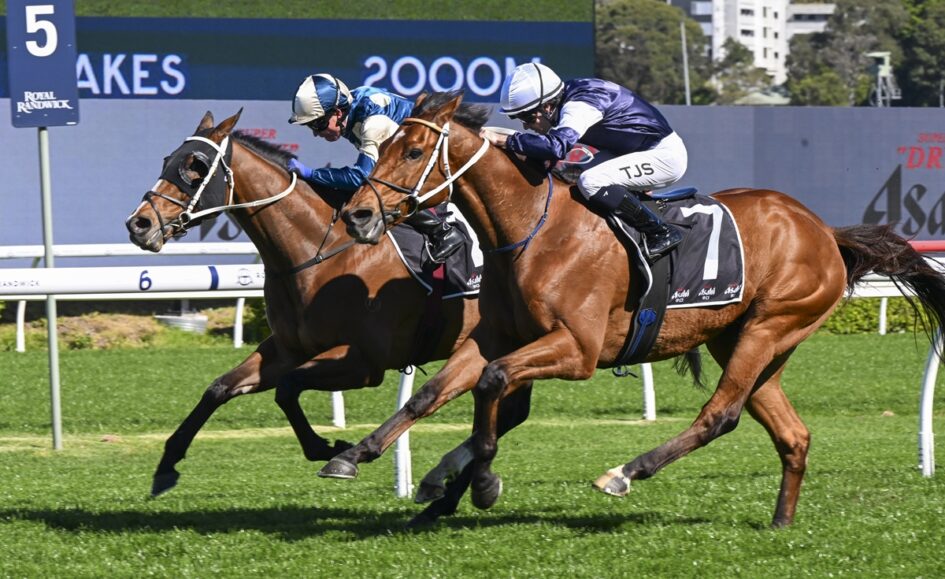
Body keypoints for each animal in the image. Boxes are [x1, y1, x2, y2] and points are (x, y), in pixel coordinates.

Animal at [124, 109, 489, 500]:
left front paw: (332, 448)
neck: (320, 250)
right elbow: (219, 388)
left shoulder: (365, 362)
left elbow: (287, 388)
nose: (139, 224)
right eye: (167, 160)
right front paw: (167, 464)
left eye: (196, 166)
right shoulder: (289, 349)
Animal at [329, 91, 945, 528]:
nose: (358, 215)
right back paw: (780, 523)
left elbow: (492, 384)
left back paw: (625, 472)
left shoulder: (576, 349)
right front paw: (355, 454)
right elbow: (434, 393)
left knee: (720, 415)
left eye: (412, 152)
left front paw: (480, 483)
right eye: (380, 149)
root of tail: (822, 230)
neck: (532, 229)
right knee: (791, 434)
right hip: (742, 338)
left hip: (770, 327)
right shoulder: (495, 336)